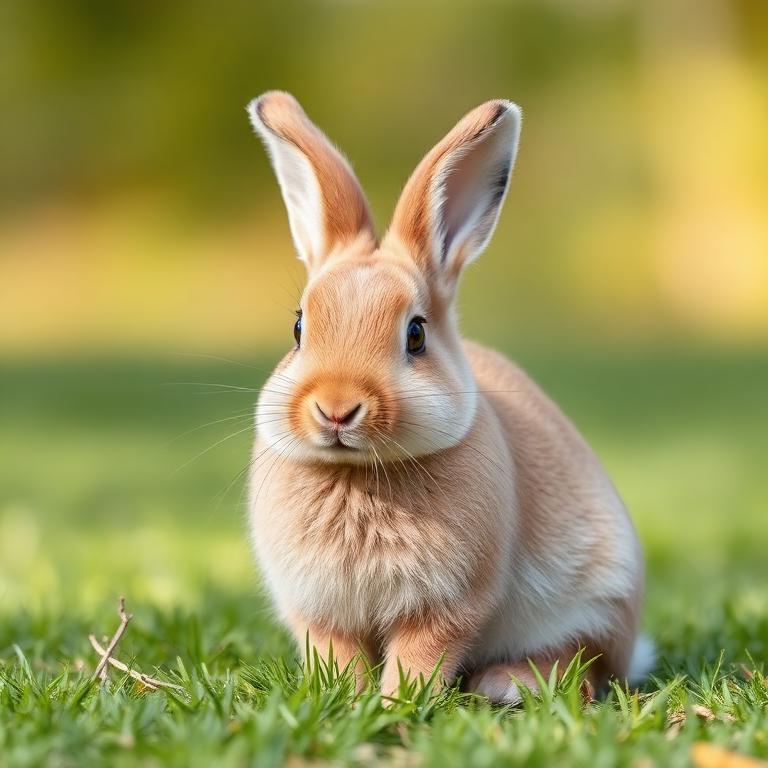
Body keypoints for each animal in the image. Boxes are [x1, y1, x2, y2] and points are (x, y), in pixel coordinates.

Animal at [246, 91, 652, 703]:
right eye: (298, 328)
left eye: (415, 334)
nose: (336, 409)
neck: (358, 475)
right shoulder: (321, 611)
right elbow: (338, 653)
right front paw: (346, 697)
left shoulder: (447, 603)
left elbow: (421, 653)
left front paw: (396, 702)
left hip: (600, 597)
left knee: (588, 663)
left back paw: (507, 682)